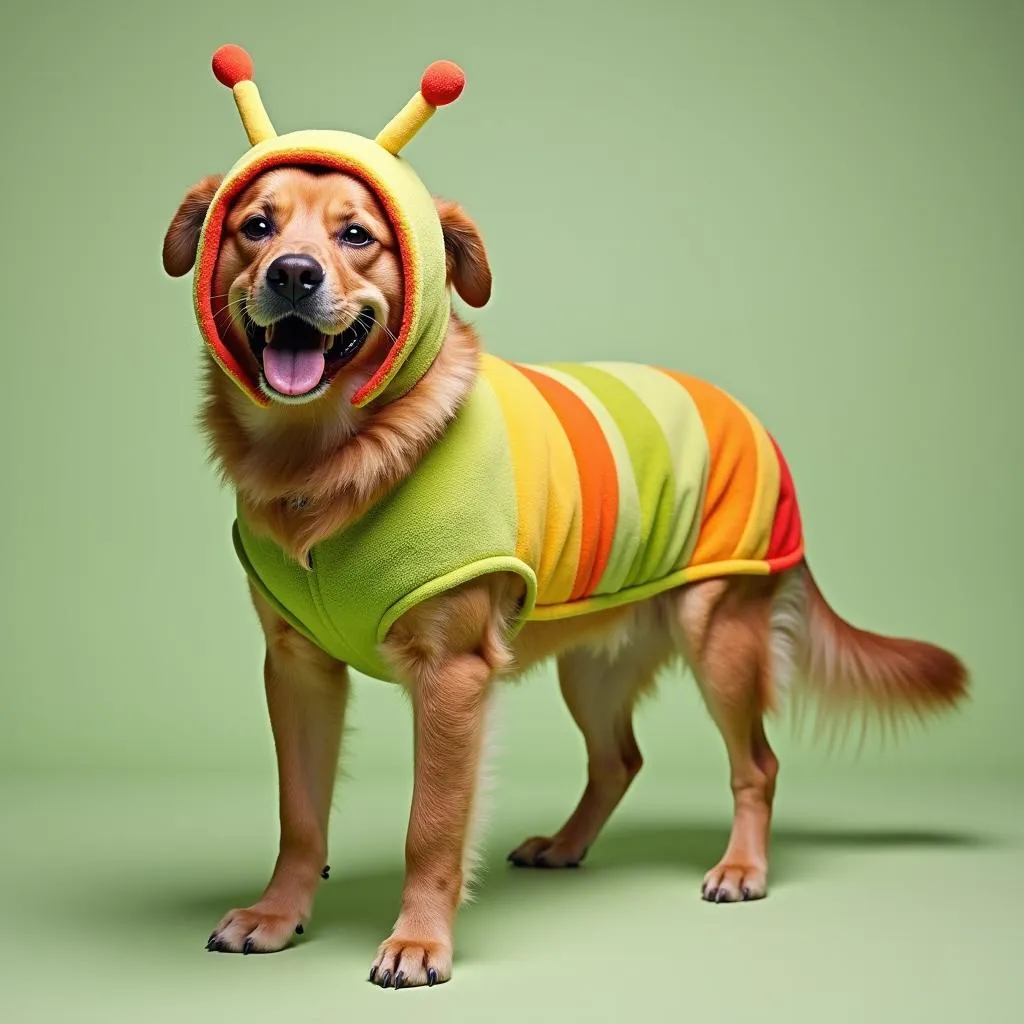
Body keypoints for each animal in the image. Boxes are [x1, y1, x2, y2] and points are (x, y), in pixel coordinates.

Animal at [159, 163, 966, 987]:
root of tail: (750, 419)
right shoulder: (297, 669)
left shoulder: (452, 677)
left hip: (720, 638)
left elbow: (432, 825)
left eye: (357, 234)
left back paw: (742, 868)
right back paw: (567, 845)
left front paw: (419, 940)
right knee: (619, 760)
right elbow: (299, 815)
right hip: (592, 666)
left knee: (758, 764)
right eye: (256, 226)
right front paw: (277, 915)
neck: (324, 462)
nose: (293, 273)